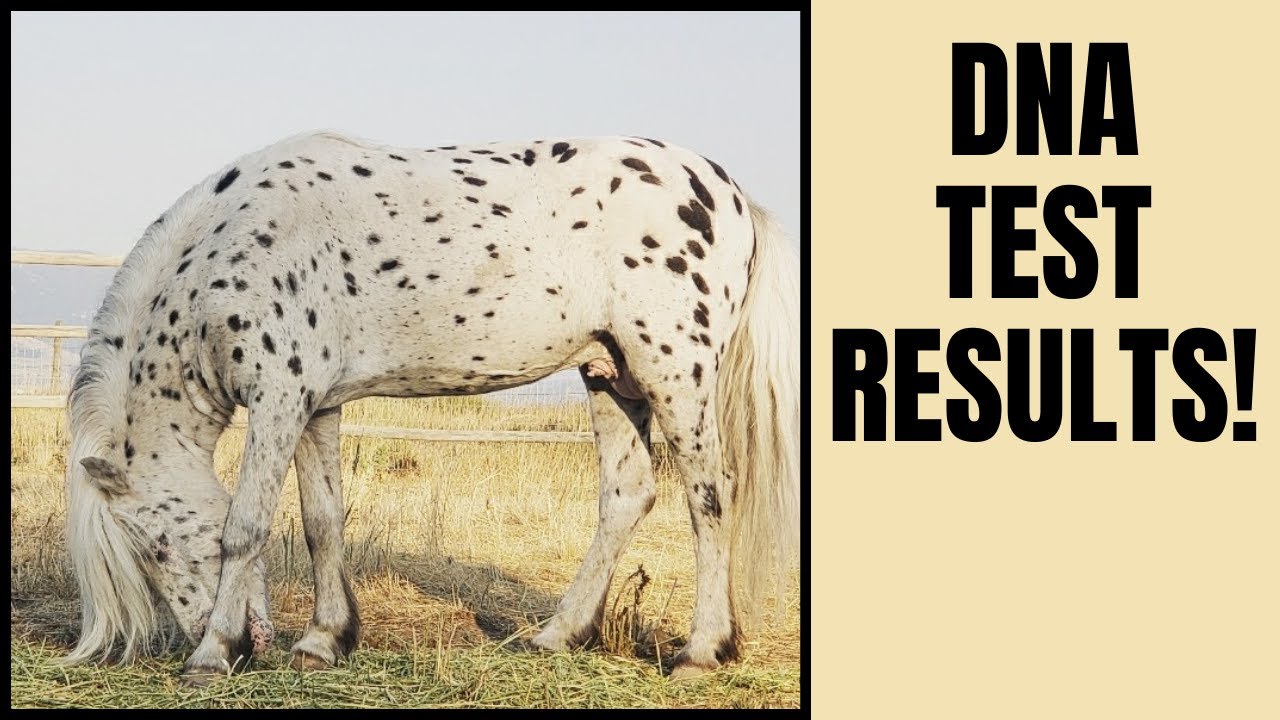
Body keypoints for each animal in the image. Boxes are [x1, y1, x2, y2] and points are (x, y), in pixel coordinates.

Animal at [62, 131, 799, 684]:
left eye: (156, 547)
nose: (249, 643)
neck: (241, 246)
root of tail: (728, 194)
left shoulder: (278, 400)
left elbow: (245, 527)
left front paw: (211, 656)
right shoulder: (315, 406)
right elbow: (322, 521)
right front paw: (323, 641)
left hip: (674, 372)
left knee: (709, 497)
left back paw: (700, 652)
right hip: (610, 375)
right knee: (627, 496)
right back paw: (556, 635)